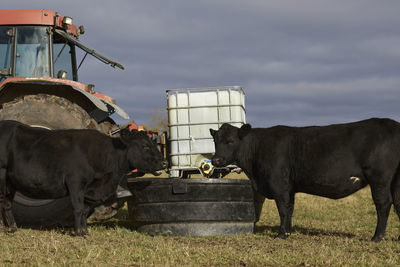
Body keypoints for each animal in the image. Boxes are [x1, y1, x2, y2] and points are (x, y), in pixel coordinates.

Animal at [0, 121, 167, 237]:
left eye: (154, 143)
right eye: (145, 146)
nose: (164, 162)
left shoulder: (91, 191)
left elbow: (85, 210)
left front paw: (85, 232)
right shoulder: (75, 183)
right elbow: (78, 209)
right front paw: (78, 233)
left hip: (10, 183)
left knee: (6, 204)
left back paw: (12, 228)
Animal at [209, 118, 400, 242]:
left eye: (231, 141)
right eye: (215, 141)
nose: (216, 160)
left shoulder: (279, 185)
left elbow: (283, 209)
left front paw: (281, 234)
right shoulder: (290, 188)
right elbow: (290, 209)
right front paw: (288, 232)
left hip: (379, 178)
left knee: (383, 203)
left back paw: (376, 237)